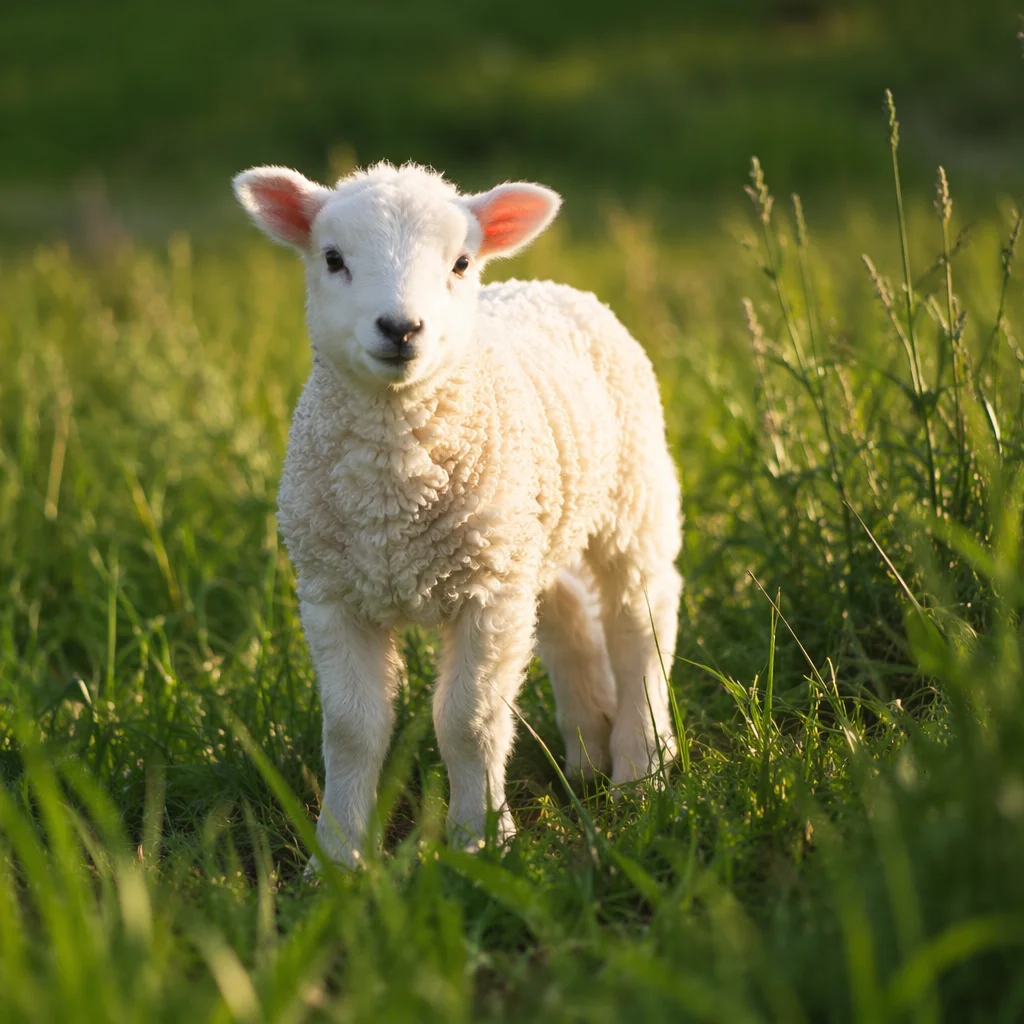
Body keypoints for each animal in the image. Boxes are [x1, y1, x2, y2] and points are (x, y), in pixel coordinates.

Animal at [233, 161, 683, 868]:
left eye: (462, 262)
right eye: (333, 259)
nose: (400, 328)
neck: (396, 490)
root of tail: (542, 283)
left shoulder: (487, 595)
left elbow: (468, 722)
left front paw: (481, 841)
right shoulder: (334, 593)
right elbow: (353, 729)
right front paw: (337, 858)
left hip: (631, 494)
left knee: (642, 620)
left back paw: (641, 767)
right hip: (529, 528)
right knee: (568, 617)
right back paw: (587, 754)